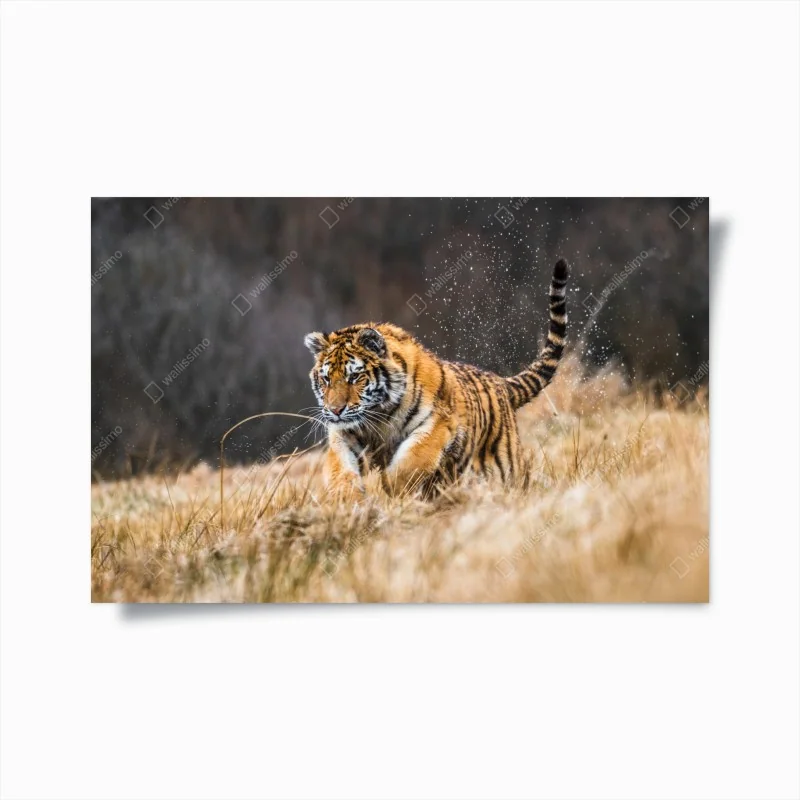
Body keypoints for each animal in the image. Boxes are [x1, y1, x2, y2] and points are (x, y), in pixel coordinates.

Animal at [304, 258, 569, 496]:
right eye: (326, 379)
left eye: (355, 377)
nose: (335, 410)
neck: (379, 418)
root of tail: (500, 382)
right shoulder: (344, 435)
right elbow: (340, 469)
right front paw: (347, 500)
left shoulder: (437, 424)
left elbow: (412, 461)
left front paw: (390, 489)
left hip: (507, 467)